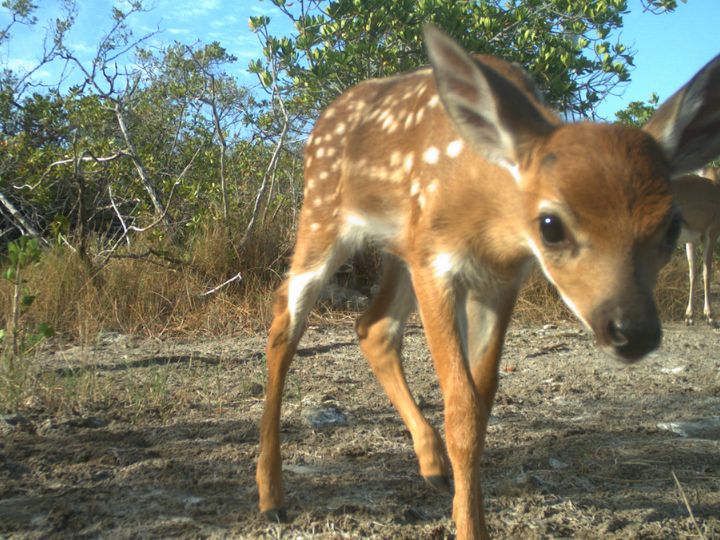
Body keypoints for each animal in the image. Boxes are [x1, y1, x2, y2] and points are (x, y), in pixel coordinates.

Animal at [672, 171, 720, 326]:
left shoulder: (691, 241)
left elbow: (693, 273)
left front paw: (689, 316)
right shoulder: (711, 234)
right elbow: (706, 273)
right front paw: (709, 315)